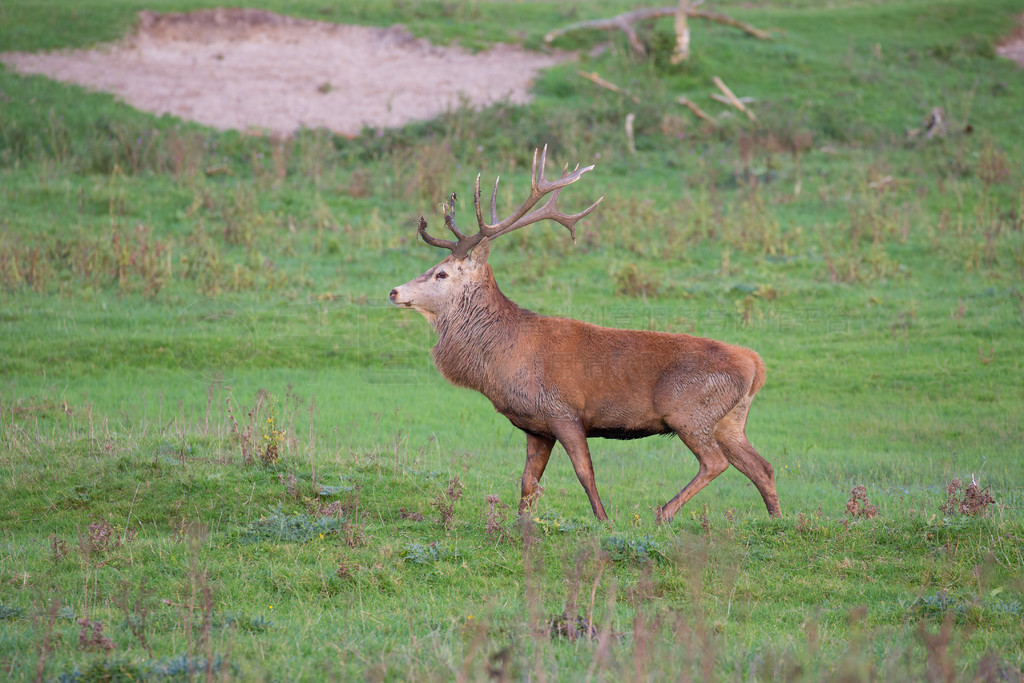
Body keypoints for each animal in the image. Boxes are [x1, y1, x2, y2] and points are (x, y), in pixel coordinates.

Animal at [387, 147, 778, 520]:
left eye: (441, 273)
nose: (393, 291)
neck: (503, 358)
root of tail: (755, 365)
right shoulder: (536, 427)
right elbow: (528, 482)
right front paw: (520, 524)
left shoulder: (564, 411)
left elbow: (584, 472)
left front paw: (603, 520)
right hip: (730, 420)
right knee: (762, 466)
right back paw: (775, 520)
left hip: (690, 411)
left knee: (716, 462)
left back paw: (663, 514)